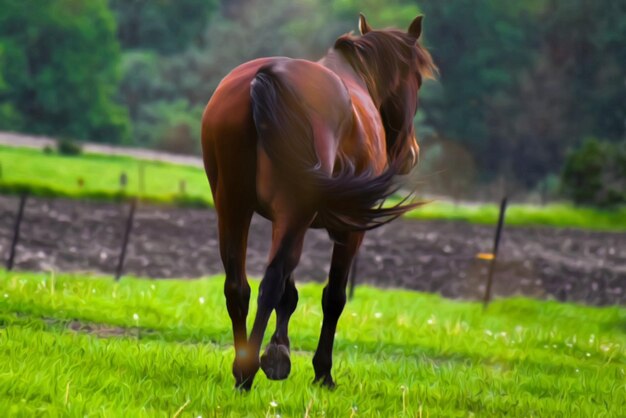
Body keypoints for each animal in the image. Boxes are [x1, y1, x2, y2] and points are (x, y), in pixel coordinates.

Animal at [200, 13, 434, 392]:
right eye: (417, 79)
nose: (412, 152)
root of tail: (266, 76)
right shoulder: (346, 232)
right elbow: (333, 296)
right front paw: (321, 371)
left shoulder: (286, 221)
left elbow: (290, 292)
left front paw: (278, 353)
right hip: (291, 211)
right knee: (269, 283)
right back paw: (247, 373)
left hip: (233, 206)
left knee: (238, 286)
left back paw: (242, 365)